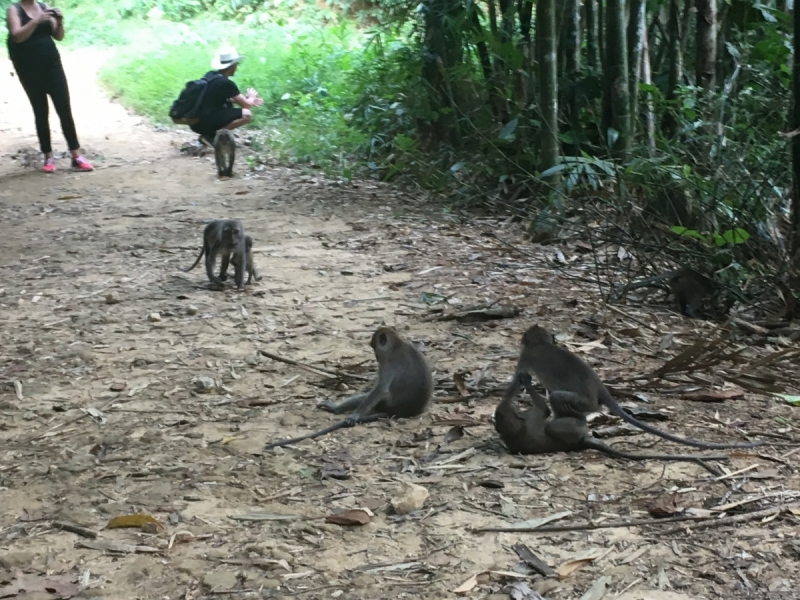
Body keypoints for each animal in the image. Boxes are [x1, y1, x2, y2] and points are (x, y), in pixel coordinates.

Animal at [264, 324, 434, 450]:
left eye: (374, 347)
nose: (376, 356)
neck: (398, 343)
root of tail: (401, 412)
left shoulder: (388, 364)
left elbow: (380, 389)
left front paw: (354, 415)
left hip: (385, 403)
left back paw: (336, 409)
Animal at [494, 370, 724, 474]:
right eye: (509, 411)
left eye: (500, 413)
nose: (507, 401)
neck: (512, 431)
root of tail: (583, 441)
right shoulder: (533, 416)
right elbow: (543, 410)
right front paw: (524, 381)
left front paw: (522, 380)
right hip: (569, 426)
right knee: (561, 415)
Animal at [506, 324, 764, 450]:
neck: (541, 344)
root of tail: (600, 389)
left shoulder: (525, 357)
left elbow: (518, 377)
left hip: (583, 401)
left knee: (561, 398)